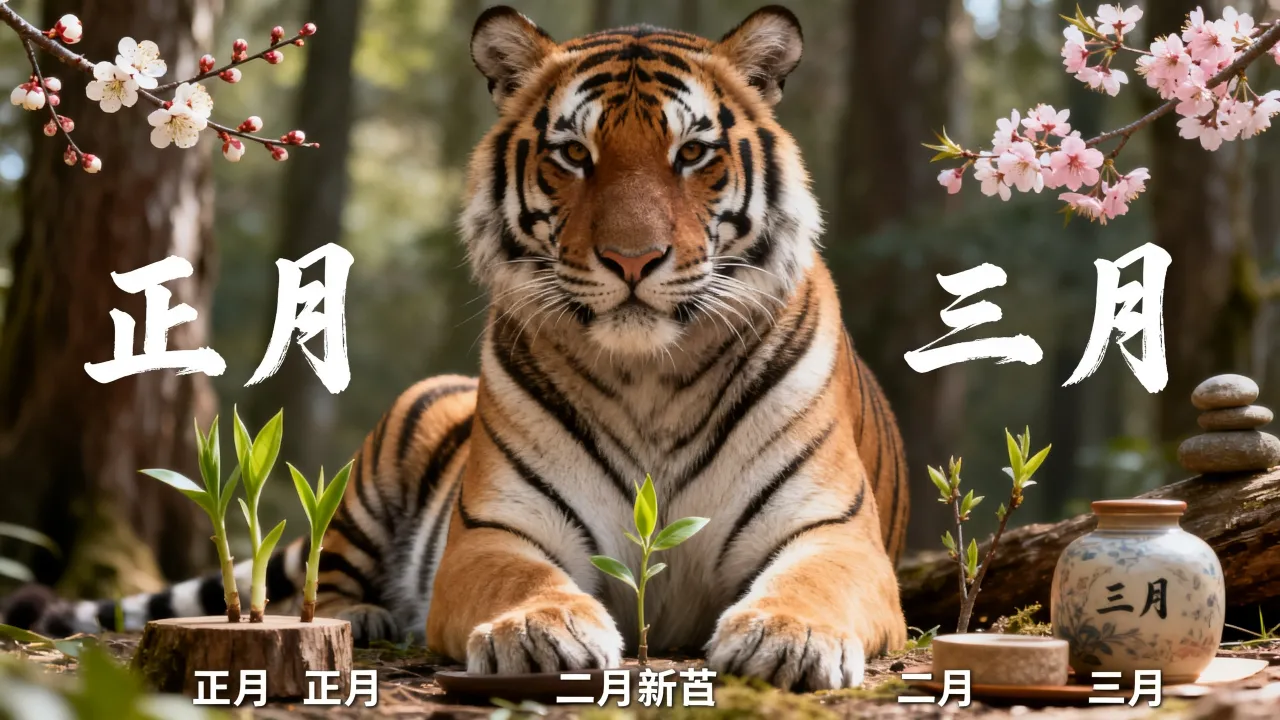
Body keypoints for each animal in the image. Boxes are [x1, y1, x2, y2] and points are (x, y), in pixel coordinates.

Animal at [5, 5, 910, 691]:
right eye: (573, 154)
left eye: (692, 153)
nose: (631, 260)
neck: (652, 373)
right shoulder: (496, 531)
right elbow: (523, 576)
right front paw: (539, 629)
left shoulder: (836, 531)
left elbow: (814, 579)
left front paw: (787, 637)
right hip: (394, 443)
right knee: (322, 576)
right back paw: (363, 616)